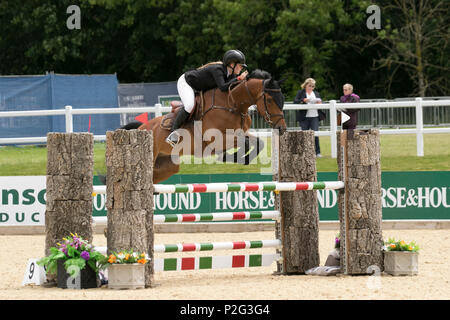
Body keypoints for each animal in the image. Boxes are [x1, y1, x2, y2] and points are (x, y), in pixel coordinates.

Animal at [121, 70, 286, 185]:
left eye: (282, 99)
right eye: (269, 100)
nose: (282, 129)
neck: (232, 104)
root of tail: (141, 127)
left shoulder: (240, 133)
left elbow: (258, 143)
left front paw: (242, 159)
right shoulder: (217, 139)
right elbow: (243, 144)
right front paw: (229, 157)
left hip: (167, 165)